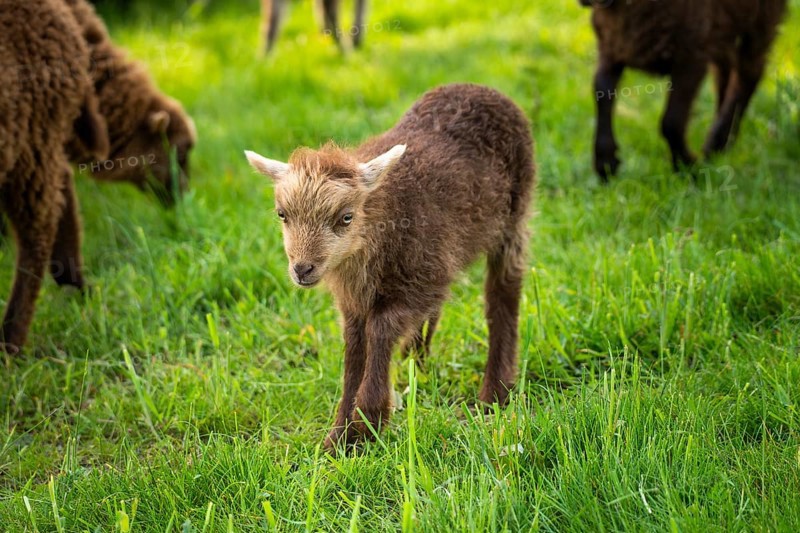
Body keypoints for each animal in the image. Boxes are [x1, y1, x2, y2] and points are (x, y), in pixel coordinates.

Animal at [245, 83, 535, 449]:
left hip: (514, 220)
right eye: (282, 214)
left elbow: (379, 331)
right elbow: (355, 348)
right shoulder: (355, 299)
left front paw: (369, 421)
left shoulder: (423, 281)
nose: (302, 269)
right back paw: (418, 365)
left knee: (502, 298)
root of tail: (480, 88)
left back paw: (495, 393)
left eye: (346, 217)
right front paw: (340, 436)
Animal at [580, 0, 788, 181]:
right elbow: (601, 90)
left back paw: (716, 144)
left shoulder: (691, 49)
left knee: (749, 71)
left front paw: (687, 168)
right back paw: (720, 140)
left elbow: (671, 122)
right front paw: (606, 164)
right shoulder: (611, 43)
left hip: (761, 16)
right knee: (726, 70)